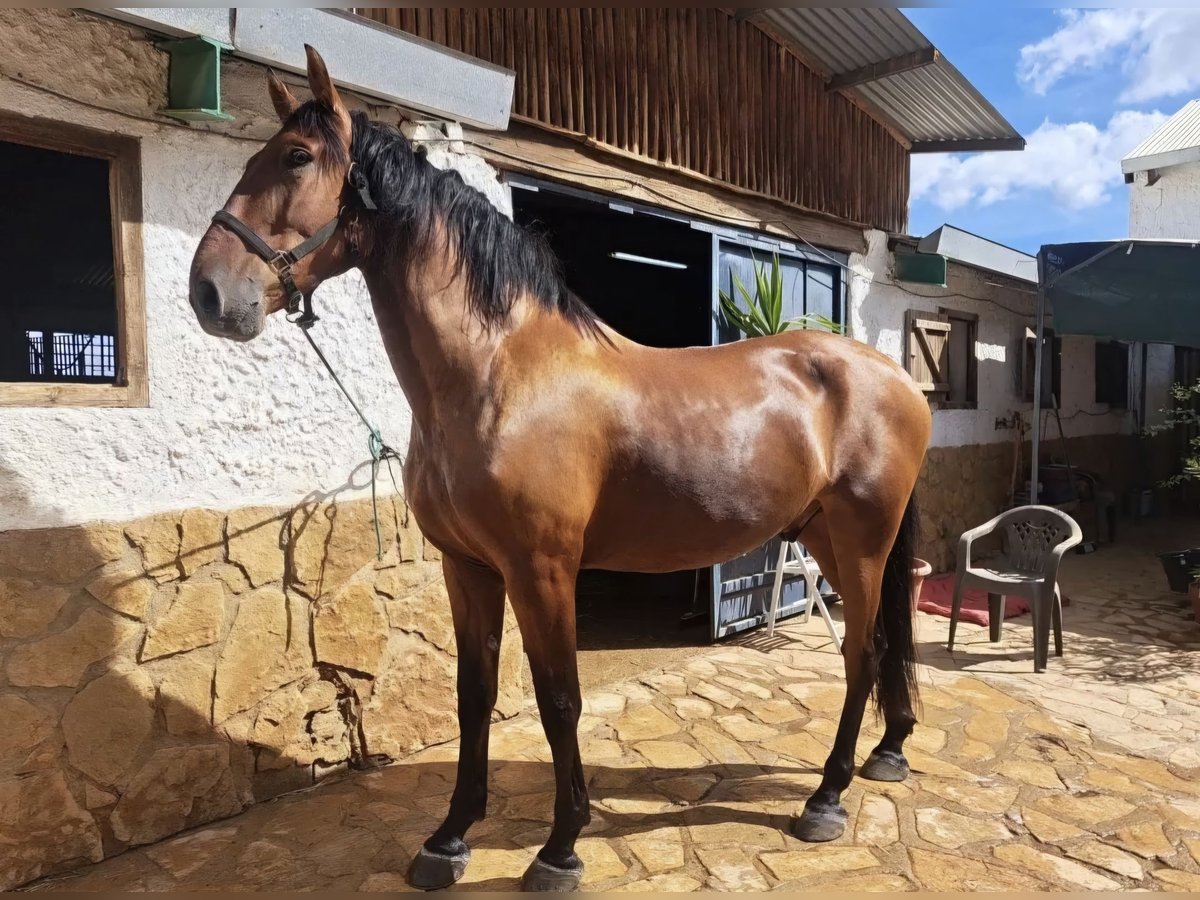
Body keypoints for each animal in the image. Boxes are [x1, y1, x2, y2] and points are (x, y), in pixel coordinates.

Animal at [189, 49, 936, 897]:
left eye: (295, 156)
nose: (209, 292)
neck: (500, 374)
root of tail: (895, 376)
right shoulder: (468, 568)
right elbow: (475, 695)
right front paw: (448, 837)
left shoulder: (541, 570)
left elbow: (559, 702)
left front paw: (560, 847)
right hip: (827, 539)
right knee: (881, 644)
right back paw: (887, 751)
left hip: (863, 539)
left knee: (861, 652)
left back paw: (826, 797)